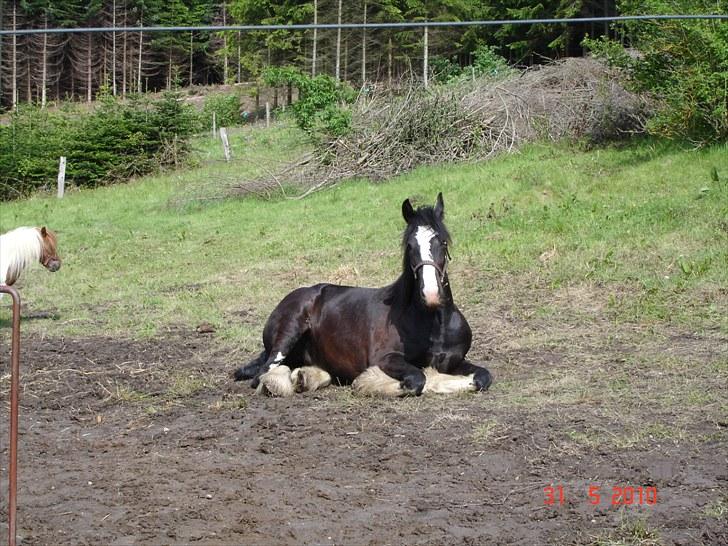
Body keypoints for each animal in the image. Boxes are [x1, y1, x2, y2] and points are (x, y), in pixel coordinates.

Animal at [236, 193, 492, 398]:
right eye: (410, 246)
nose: (431, 294)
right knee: (263, 373)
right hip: (289, 332)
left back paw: (304, 378)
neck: (432, 323)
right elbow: (419, 380)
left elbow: (483, 377)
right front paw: (367, 382)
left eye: (443, 242)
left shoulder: (454, 360)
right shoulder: (386, 359)